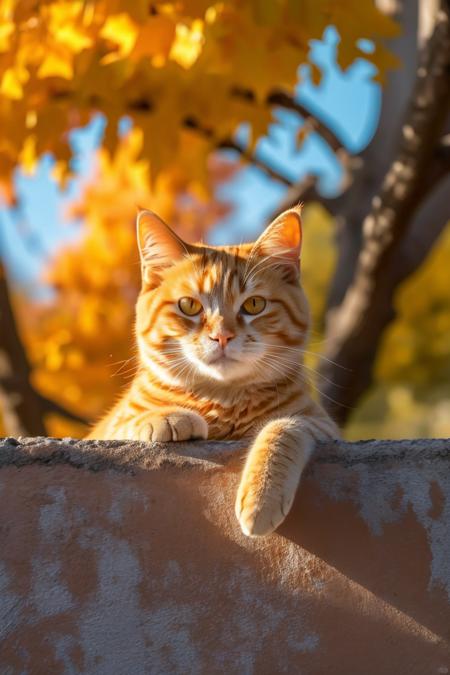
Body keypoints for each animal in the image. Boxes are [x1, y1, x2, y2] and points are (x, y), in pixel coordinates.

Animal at [87, 209, 338, 536]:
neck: (222, 400)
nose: (222, 336)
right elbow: (128, 422)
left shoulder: (321, 425)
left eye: (254, 304)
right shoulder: (106, 431)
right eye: (189, 305)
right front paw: (168, 417)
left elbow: (284, 427)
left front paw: (262, 495)